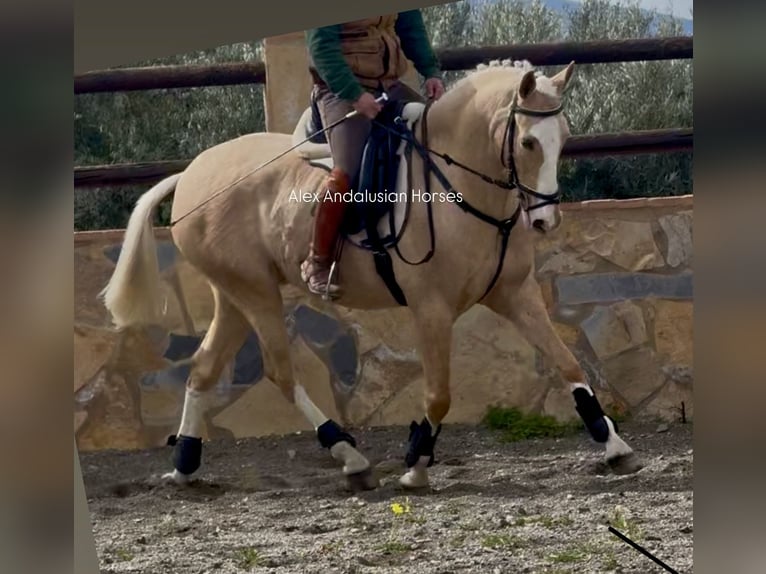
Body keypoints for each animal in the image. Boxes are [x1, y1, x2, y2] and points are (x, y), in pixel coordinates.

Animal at [102, 60, 640, 492]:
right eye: (527, 142)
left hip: (233, 294)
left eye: (564, 137)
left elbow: (569, 364)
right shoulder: (431, 309)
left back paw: (185, 466)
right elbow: (439, 395)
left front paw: (614, 447)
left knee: (203, 369)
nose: (547, 220)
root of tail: (192, 173)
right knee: (279, 370)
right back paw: (350, 456)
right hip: (254, 293)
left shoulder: (515, 294)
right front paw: (416, 466)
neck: (460, 187)